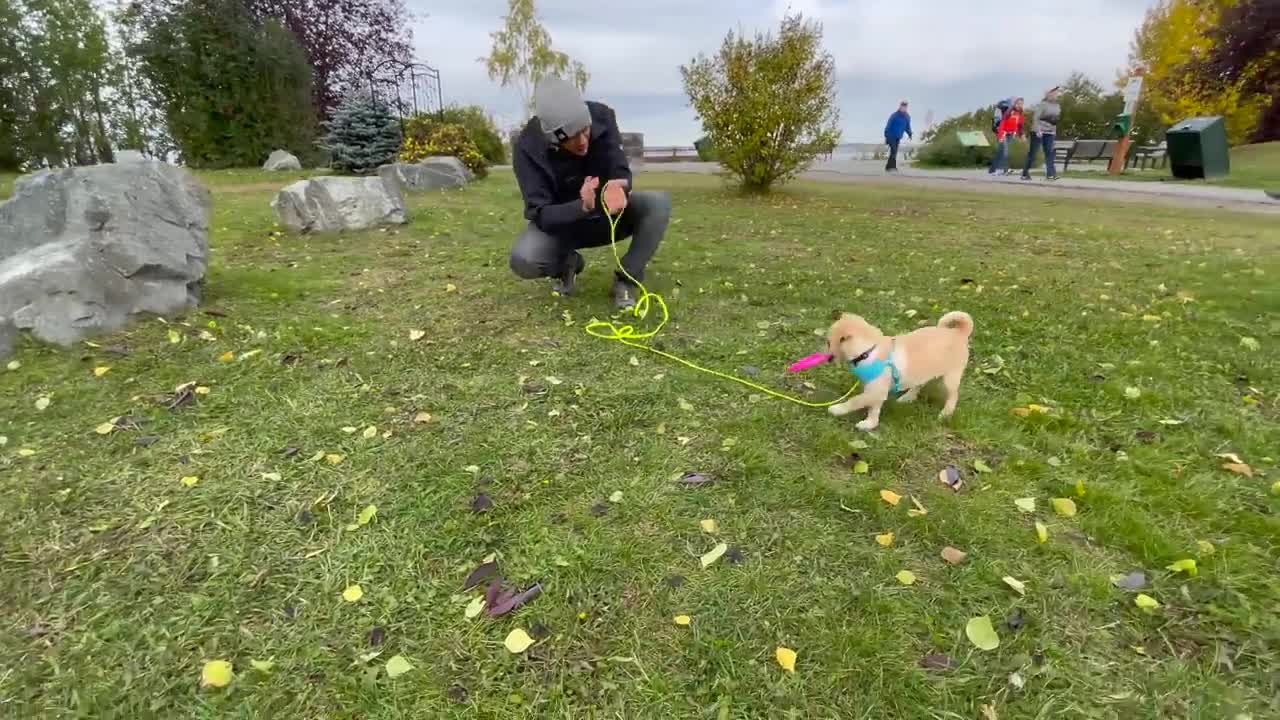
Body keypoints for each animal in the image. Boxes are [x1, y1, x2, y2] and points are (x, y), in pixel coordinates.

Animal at [824, 310, 972, 430]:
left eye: (829, 343)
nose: (828, 358)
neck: (869, 351)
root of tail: (958, 333)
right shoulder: (876, 391)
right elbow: (874, 408)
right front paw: (870, 423)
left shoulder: (875, 391)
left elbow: (856, 400)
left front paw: (838, 409)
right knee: (919, 384)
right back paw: (908, 397)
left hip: (950, 378)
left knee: (953, 395)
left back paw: (945, 414)